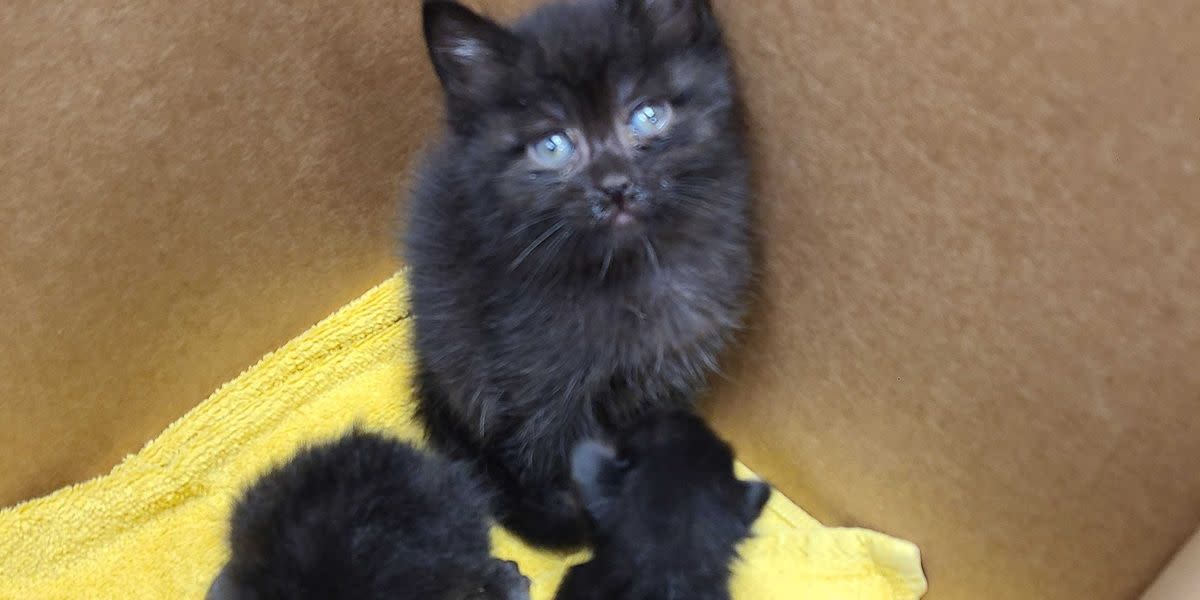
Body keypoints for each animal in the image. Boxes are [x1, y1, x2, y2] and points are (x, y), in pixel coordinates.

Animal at [408, 0, 753, 549]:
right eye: (552, 146)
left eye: (647, 115)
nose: (615, 186)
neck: (629, 268)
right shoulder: (537, 385)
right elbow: (553, 452)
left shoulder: (676, 357)